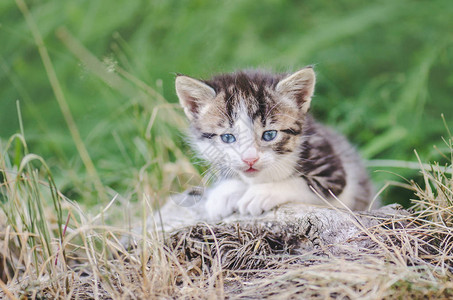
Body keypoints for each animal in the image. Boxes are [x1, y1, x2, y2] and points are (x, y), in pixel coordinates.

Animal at [174, 67, 370, 219]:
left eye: (269, 135)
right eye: (227, 137)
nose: (250, 159)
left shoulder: (332, 170)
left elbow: (303, 183)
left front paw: (261, 193)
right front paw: (223, 194)